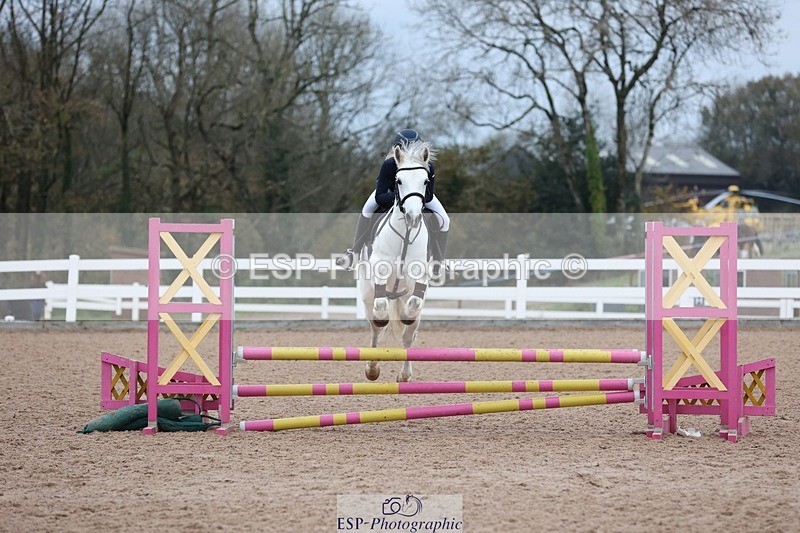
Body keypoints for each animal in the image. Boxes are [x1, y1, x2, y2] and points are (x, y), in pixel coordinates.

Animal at [357, 141, 433, 382]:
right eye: (398, 181)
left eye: (426, 181)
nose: (413, 217)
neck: (405, 235)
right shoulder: (379, 270)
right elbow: (381, 309)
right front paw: (383, 318)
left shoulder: (419, 276)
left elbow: (414, 305)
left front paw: (407, 315)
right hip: (366, 295)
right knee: (374, 328)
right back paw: (372, 369)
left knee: (409, 336)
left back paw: (404, 375)